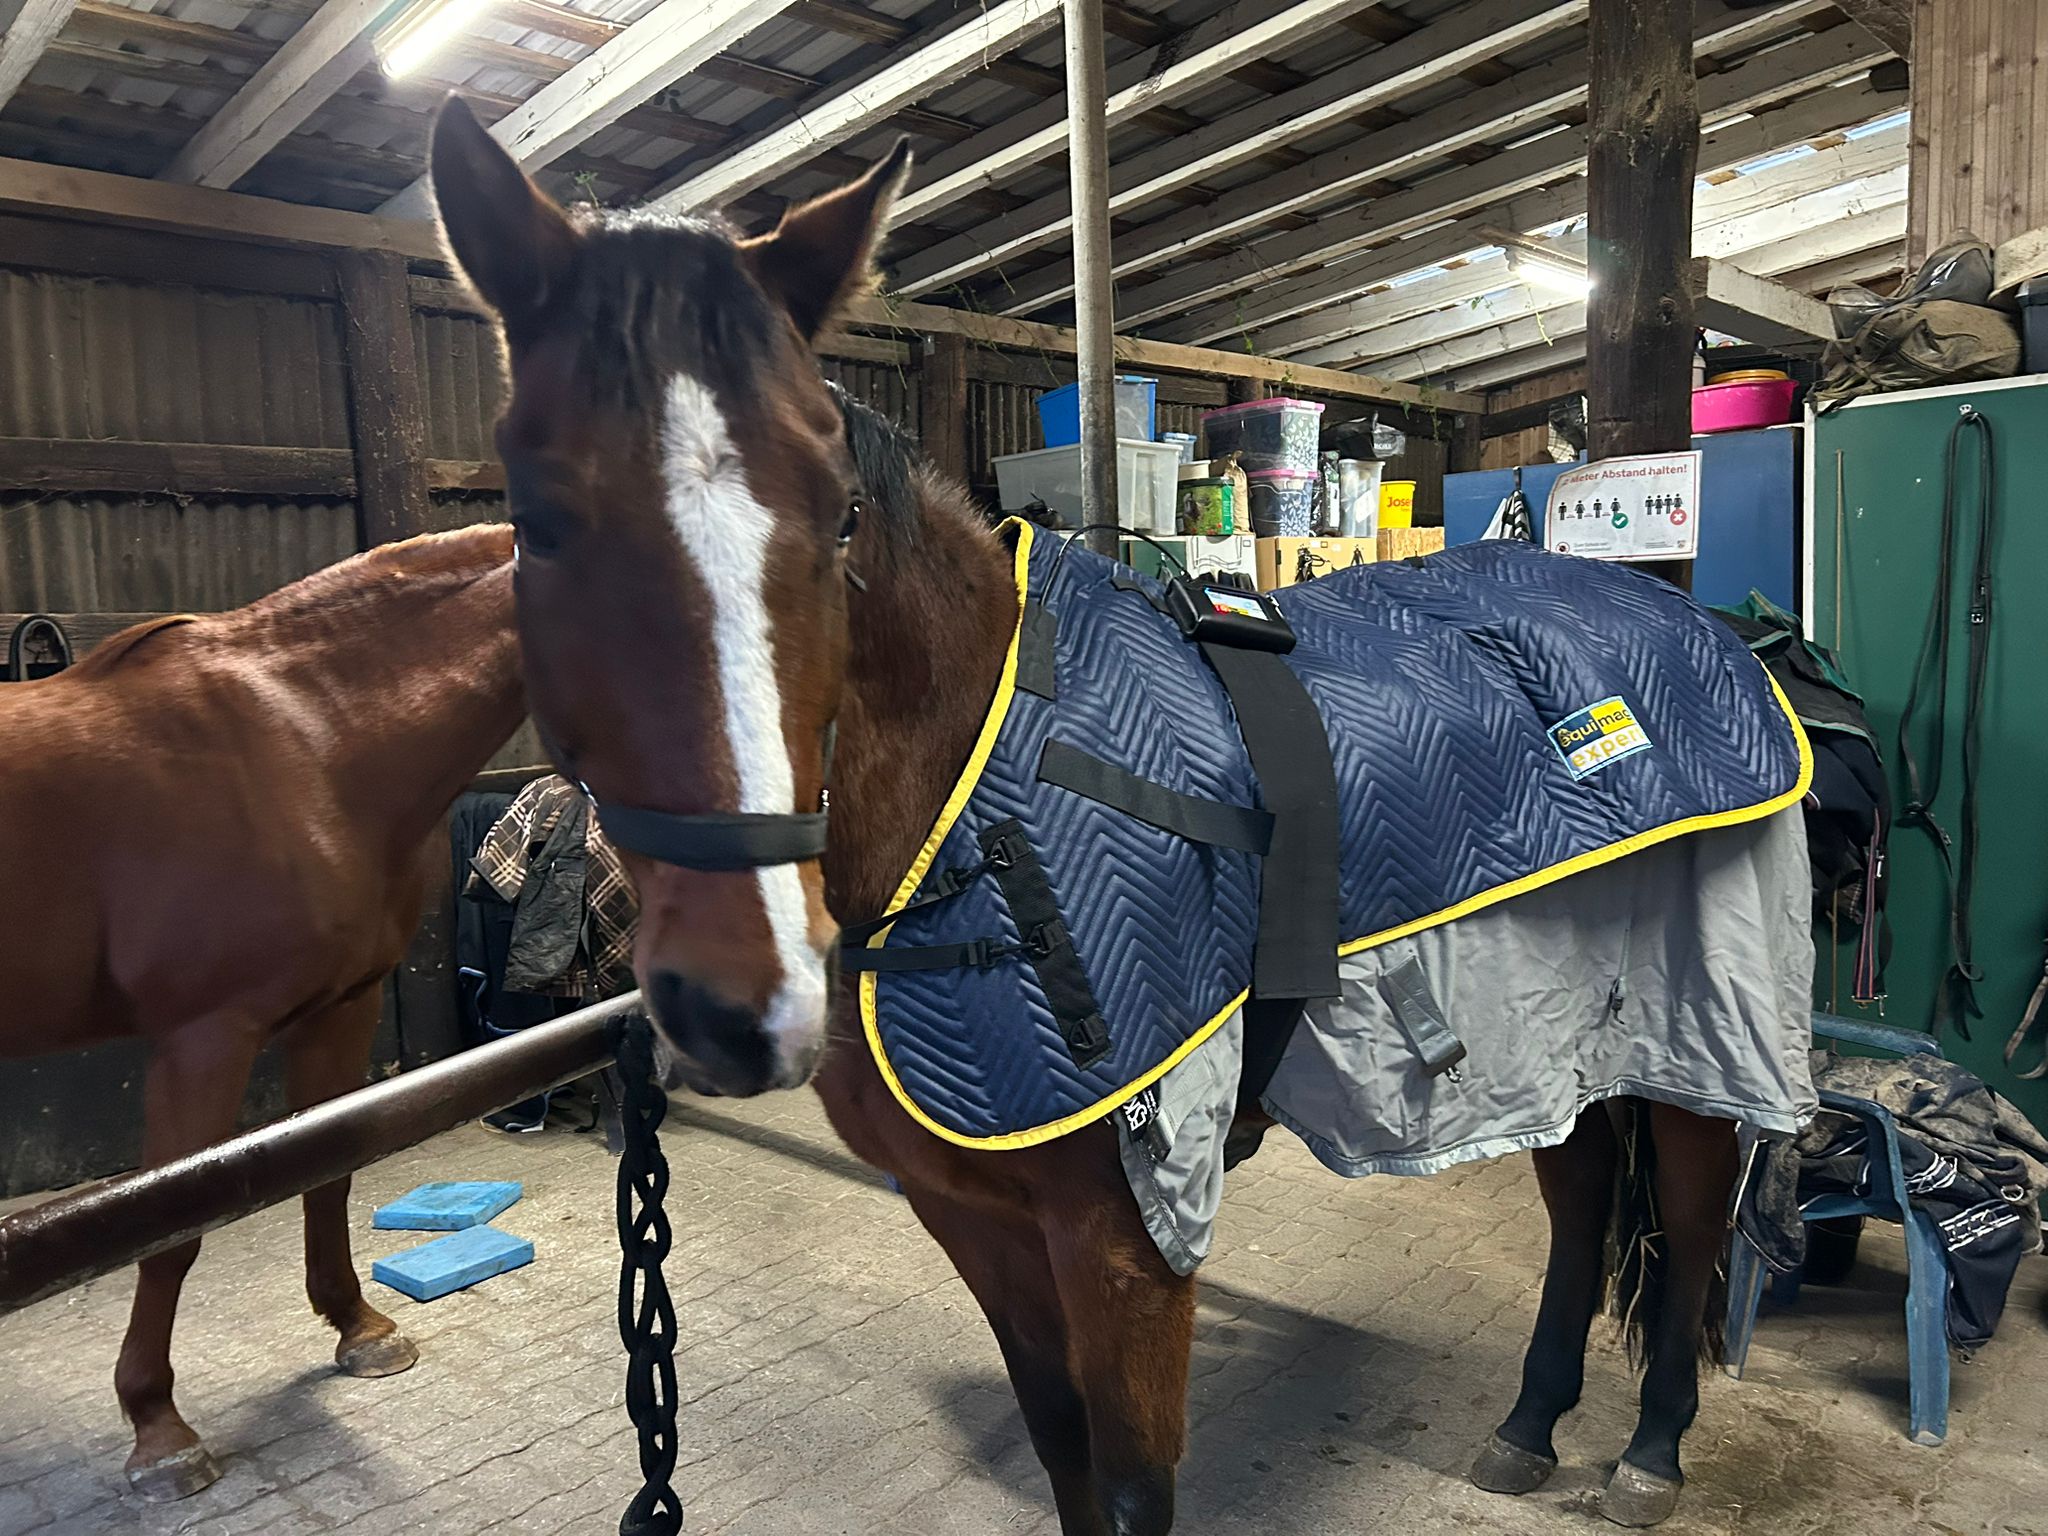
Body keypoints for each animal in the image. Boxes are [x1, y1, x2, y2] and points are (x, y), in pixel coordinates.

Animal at [0, 524, 524, 1499]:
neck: (305, 738)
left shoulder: (341, 1009)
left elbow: (330, 1172)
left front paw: (360, 1328)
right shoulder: (205, 1040)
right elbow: (169, 1233)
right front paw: (159, 1429)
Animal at [429, 100, 1793, 1532]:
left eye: (840, 515)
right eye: (534, 518)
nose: (745, 998)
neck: (966, 807)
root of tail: (1683, 615)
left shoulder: (1127, 1239)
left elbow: (1133, 1486)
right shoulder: (973, 1214)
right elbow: (1060, 1449)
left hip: (1696, 1019)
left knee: (1691, 1204)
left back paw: (1650, 1448)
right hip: (1557, 1023)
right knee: (1580, 1197)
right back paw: (1528, 1424)